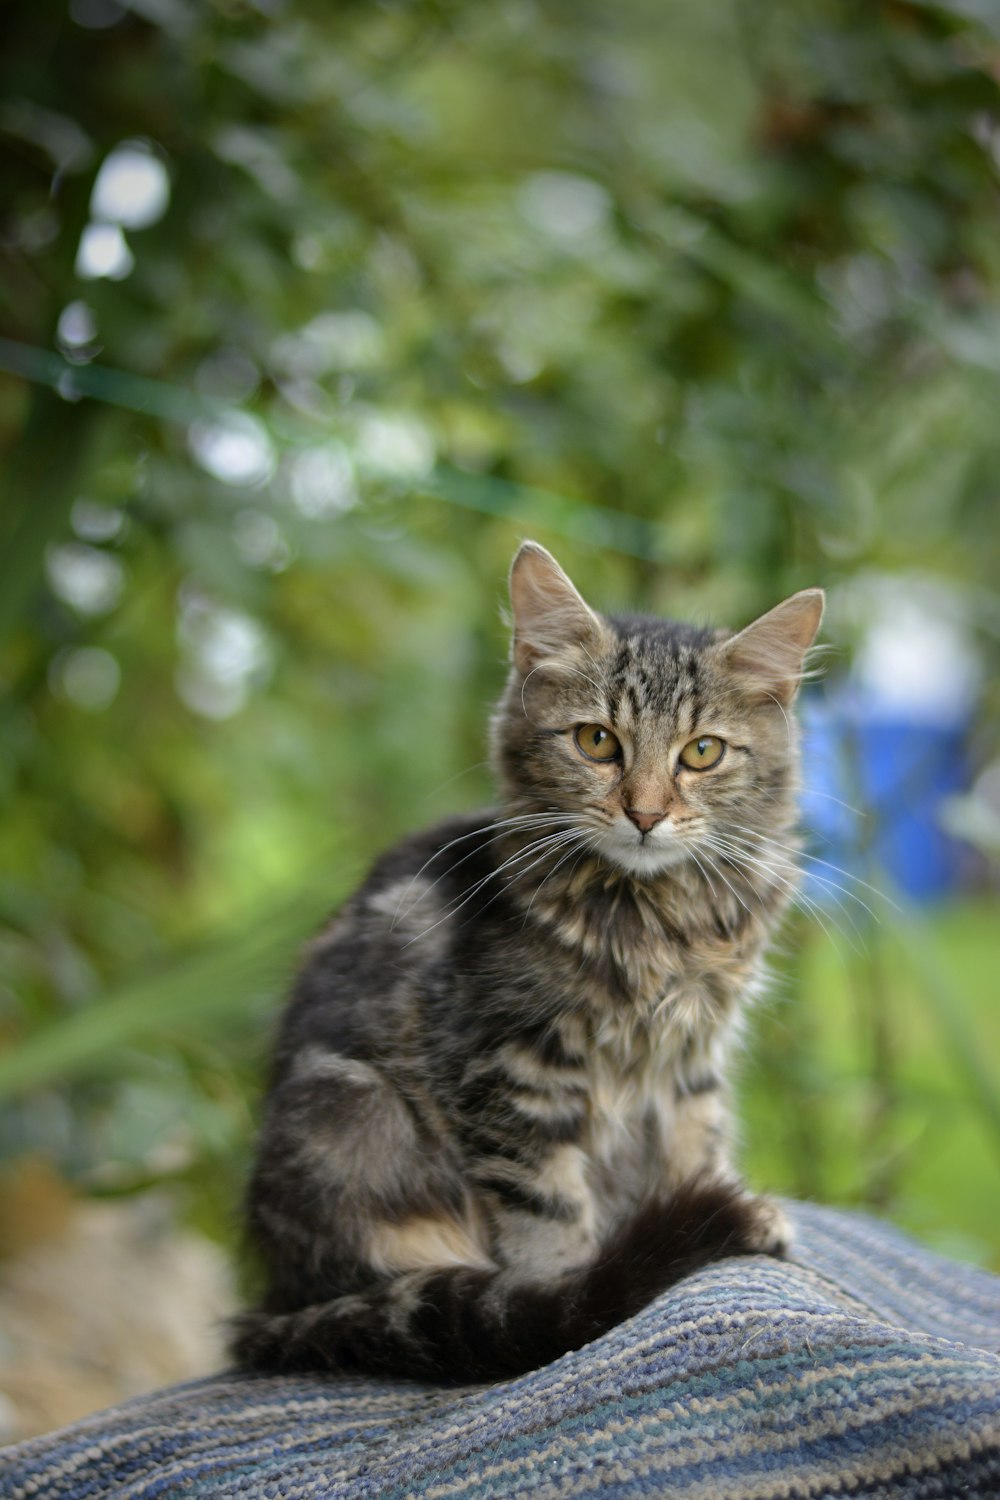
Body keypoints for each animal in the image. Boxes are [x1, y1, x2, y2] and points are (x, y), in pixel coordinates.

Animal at [230, 543, 827, 1380]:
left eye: (702, 752)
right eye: (597, 742)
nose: (646, 814)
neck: (656, 920)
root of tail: (277, 1296)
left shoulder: (689, 1060)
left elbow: (695, 1146)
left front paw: (719, 1210)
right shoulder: (509, 1068)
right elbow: (547, 1211)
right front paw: (565, 1301)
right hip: (354, 1113)